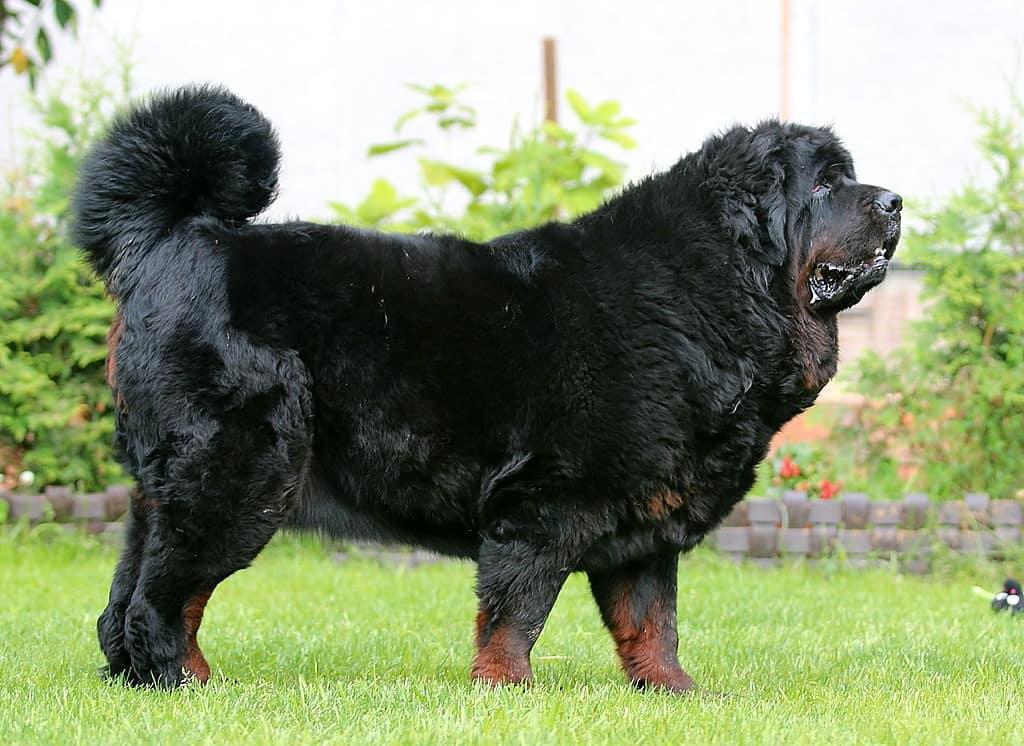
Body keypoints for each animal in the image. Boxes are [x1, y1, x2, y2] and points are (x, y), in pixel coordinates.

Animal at [72, 87, 901, 691]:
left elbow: (650, 622)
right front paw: (506, 689)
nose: (893, 200)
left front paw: (673, 693)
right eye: (825, 186)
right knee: (165, 597)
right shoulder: (544, 505)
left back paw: (139, 679)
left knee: (128, 593)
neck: (703, 291)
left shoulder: (646, 519)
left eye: (849, 178)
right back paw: (183, 680)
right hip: (238, 477)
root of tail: (170, 238)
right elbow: (516, 612)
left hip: (169, 489)